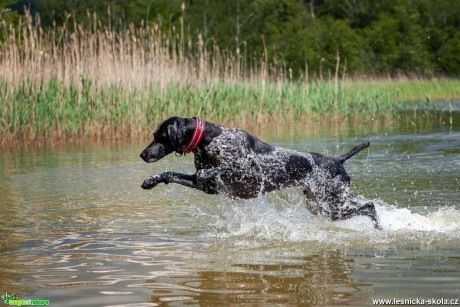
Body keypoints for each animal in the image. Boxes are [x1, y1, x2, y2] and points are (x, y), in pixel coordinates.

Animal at [140, 116, 380, 230]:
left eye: (160, 136)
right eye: (153, 135)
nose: (142, 154)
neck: (209, 139)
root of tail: (338, 160)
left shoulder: (244, 166)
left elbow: (212, 170)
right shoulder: (206, 188)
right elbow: (170, 173)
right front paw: (151, 180)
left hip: (330, 205)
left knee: (369, 206)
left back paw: (378, 228)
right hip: (321, 206)